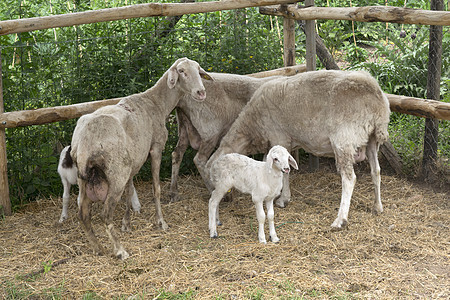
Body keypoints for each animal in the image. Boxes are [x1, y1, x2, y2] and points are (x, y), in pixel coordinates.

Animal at [71, 57, 213, 258]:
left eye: (198, 69)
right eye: (182, 71)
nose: (201, 92)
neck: (156, 103)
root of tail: (85, 142)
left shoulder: (133, 160)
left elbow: (130, 191)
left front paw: (126, 223)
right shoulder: (156, 149)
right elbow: (156, 188)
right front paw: (161, 222)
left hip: (86, 178)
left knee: (83, 215)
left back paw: (98, 249)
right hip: (116, 173)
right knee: (105, 214)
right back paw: (120, 250)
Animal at [170, 73, 284, 203]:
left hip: (184, 126)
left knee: (177, 154)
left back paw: (173, 192)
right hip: (210, 131)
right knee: (200, 160)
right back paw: (216, 191)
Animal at [205, 69, 390, 230]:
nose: (221, 198)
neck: (252, 126)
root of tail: (376, 95)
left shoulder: (279, 137)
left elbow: (284, 172)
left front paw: (283, 199)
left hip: (344, 138)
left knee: (349, 179)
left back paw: (340, 219)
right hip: (372, 140)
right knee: (376, 171)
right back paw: (377, 206)